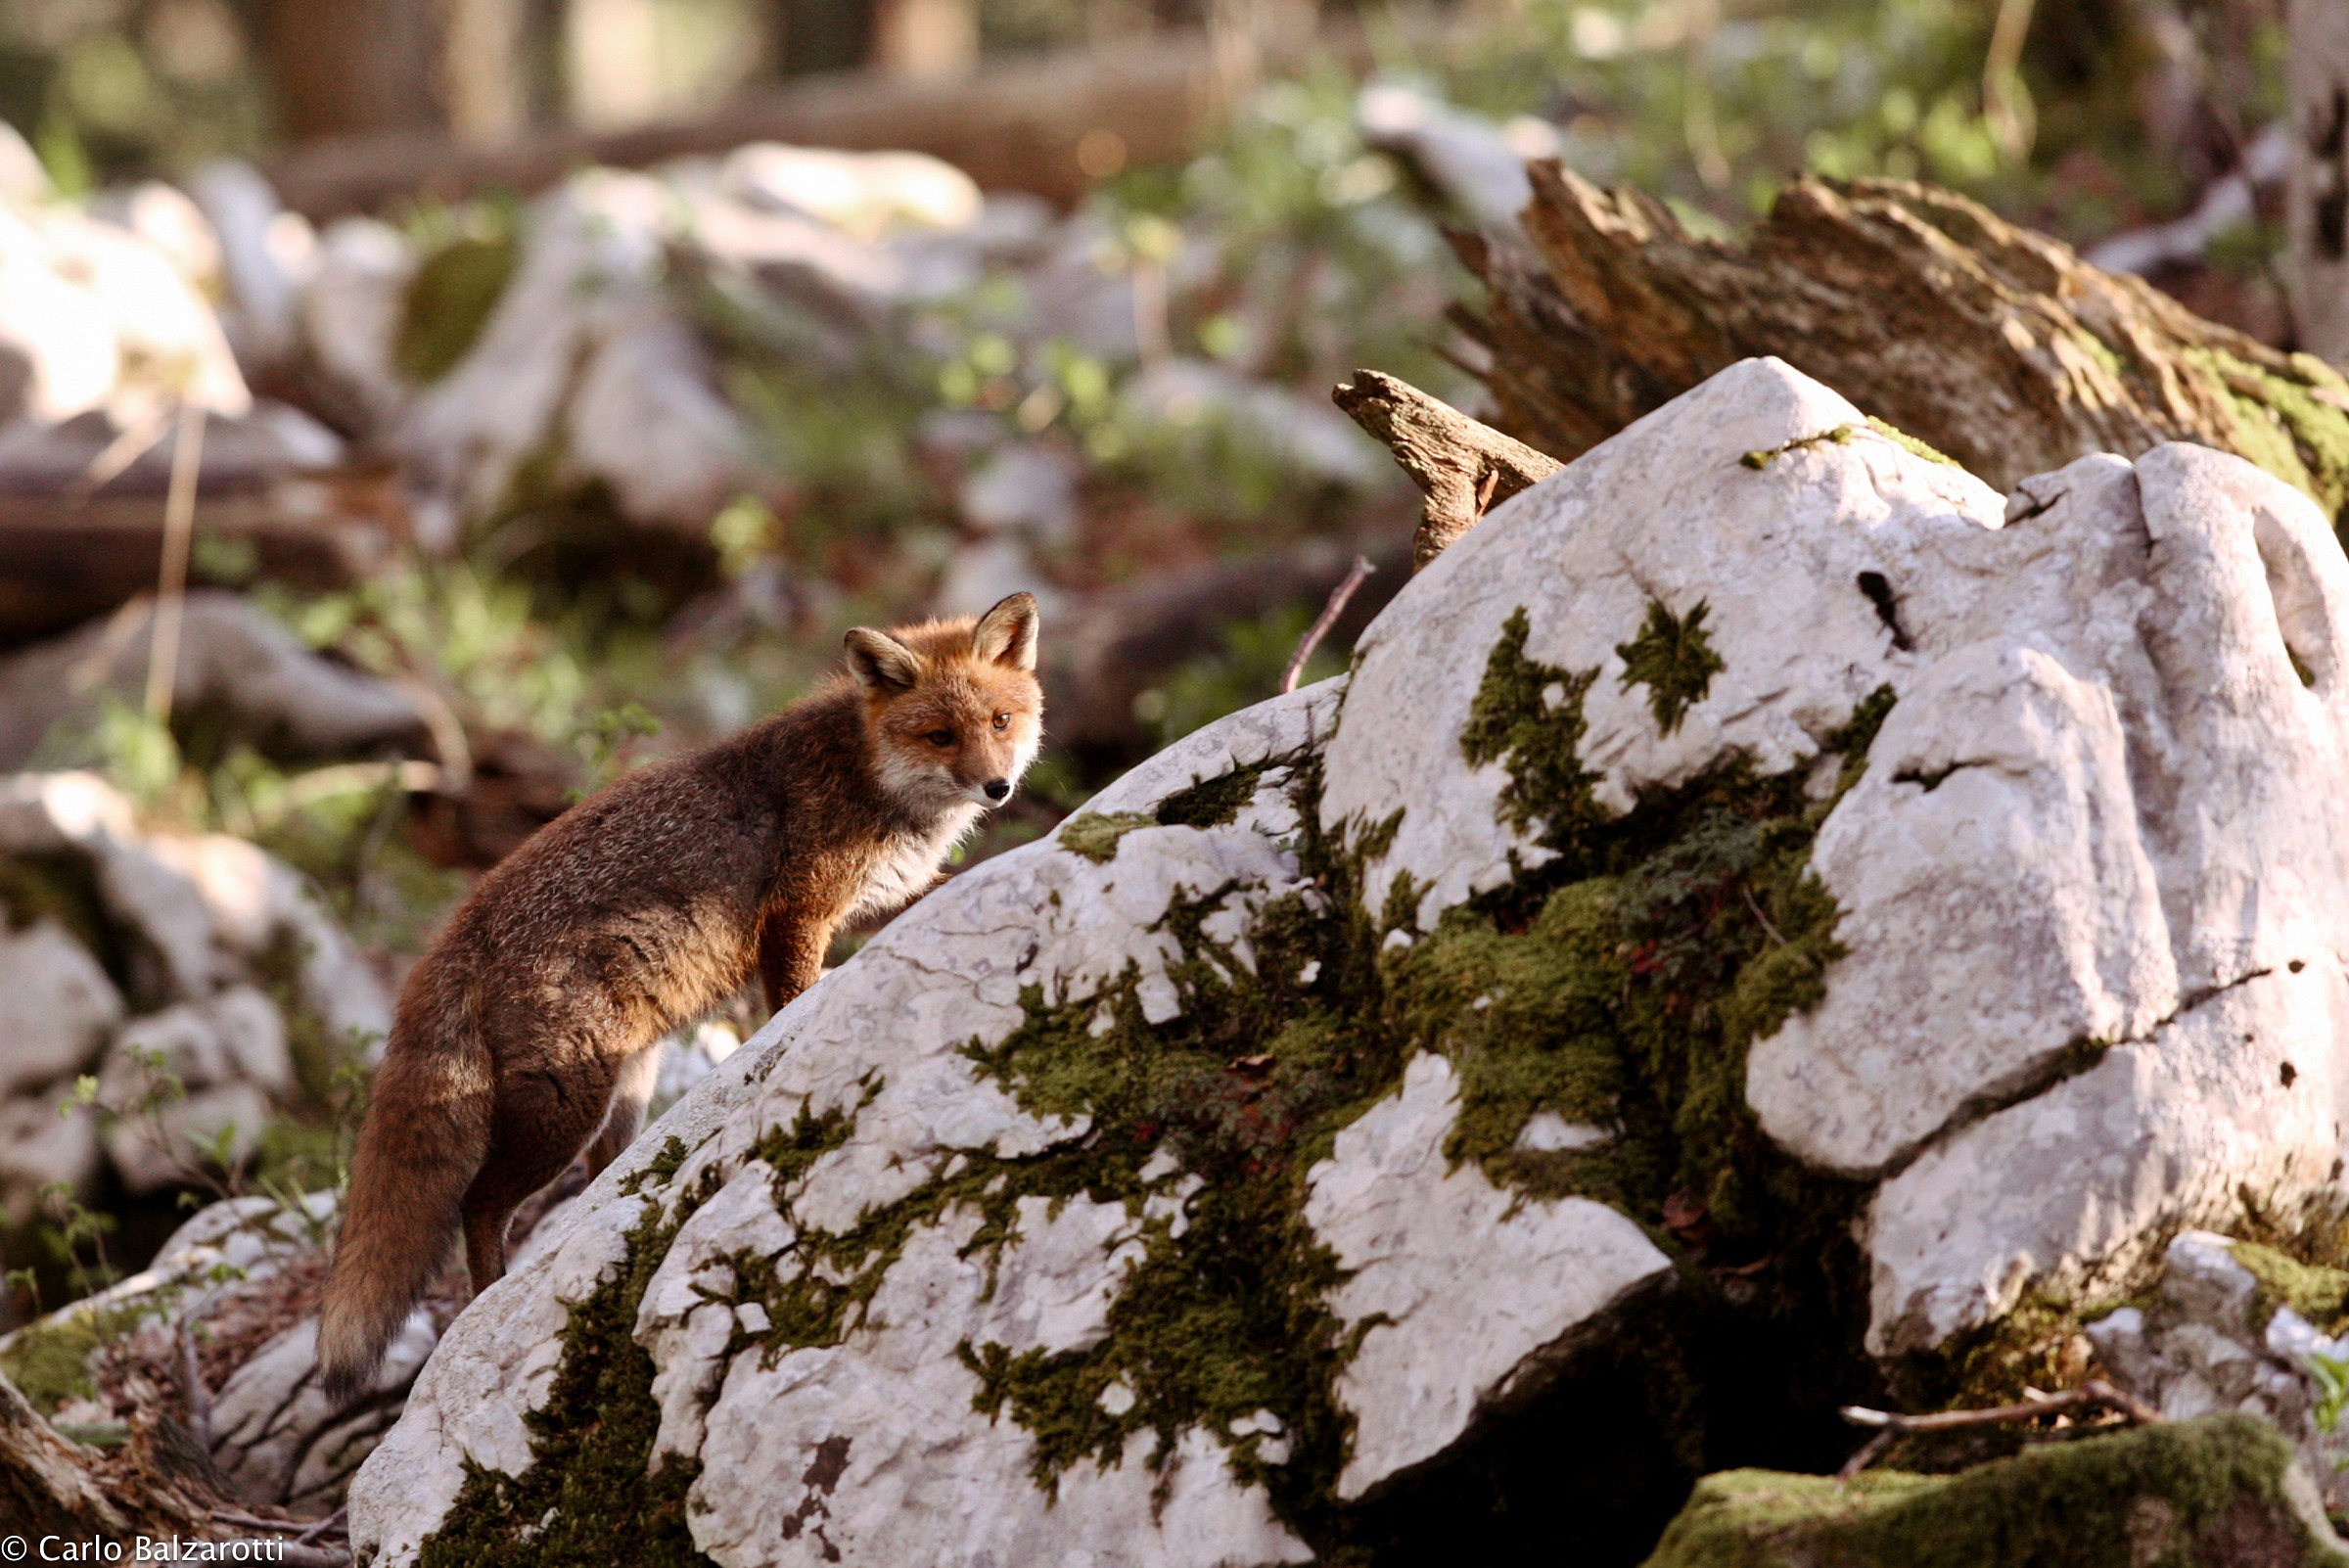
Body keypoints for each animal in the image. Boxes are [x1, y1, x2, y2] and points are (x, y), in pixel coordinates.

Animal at [314, 592, 1044, 1403]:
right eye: (939, 735)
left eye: (1000, 722)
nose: (997, 787)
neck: (864, 776)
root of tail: (453, 937)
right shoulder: (797, 916)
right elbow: (793, 1000)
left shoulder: (863, 905)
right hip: (563, 1111)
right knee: (479, 1202)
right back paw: (487, 1296)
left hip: (625, 1096)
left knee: (594, 1186)